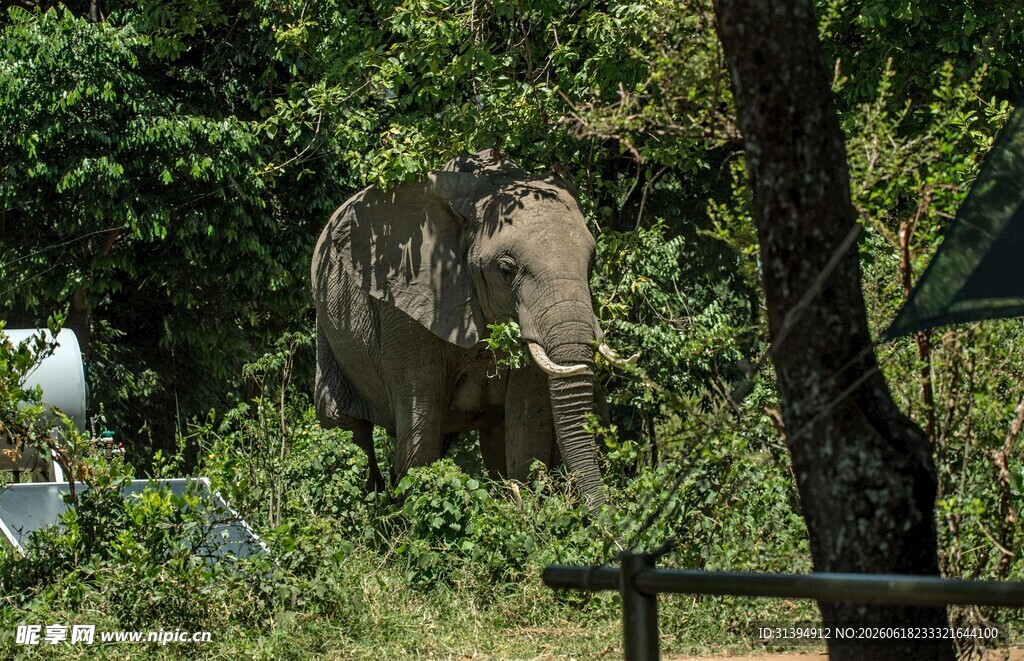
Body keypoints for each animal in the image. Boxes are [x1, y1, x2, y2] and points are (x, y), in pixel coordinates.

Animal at [311, 149, 627, 508]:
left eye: (592, 262)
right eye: (505, 269)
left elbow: (526, 419)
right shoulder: (406, 308)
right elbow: (421, 424)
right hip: (327, 325)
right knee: (345, 423)